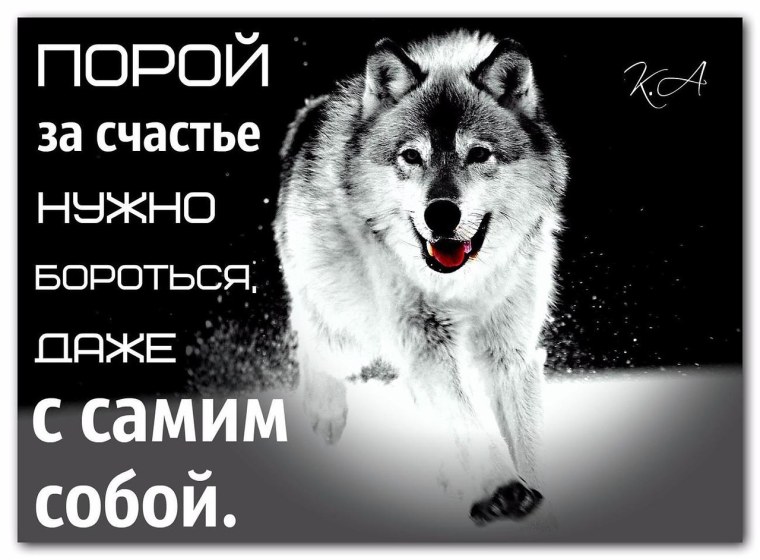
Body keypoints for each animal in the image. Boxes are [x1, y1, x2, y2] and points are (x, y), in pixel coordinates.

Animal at [274, 30, 568, 524]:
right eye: (412, 156)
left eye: (478, 154)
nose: (441, 213)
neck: (462, 285)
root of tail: (311, 110)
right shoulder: (424, 342)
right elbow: (466, 421)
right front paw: (502, 489)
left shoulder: (509, 352)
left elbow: (522, 439)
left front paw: (528, 490)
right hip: (348, 336)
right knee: (311, 343)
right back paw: (325, 413)